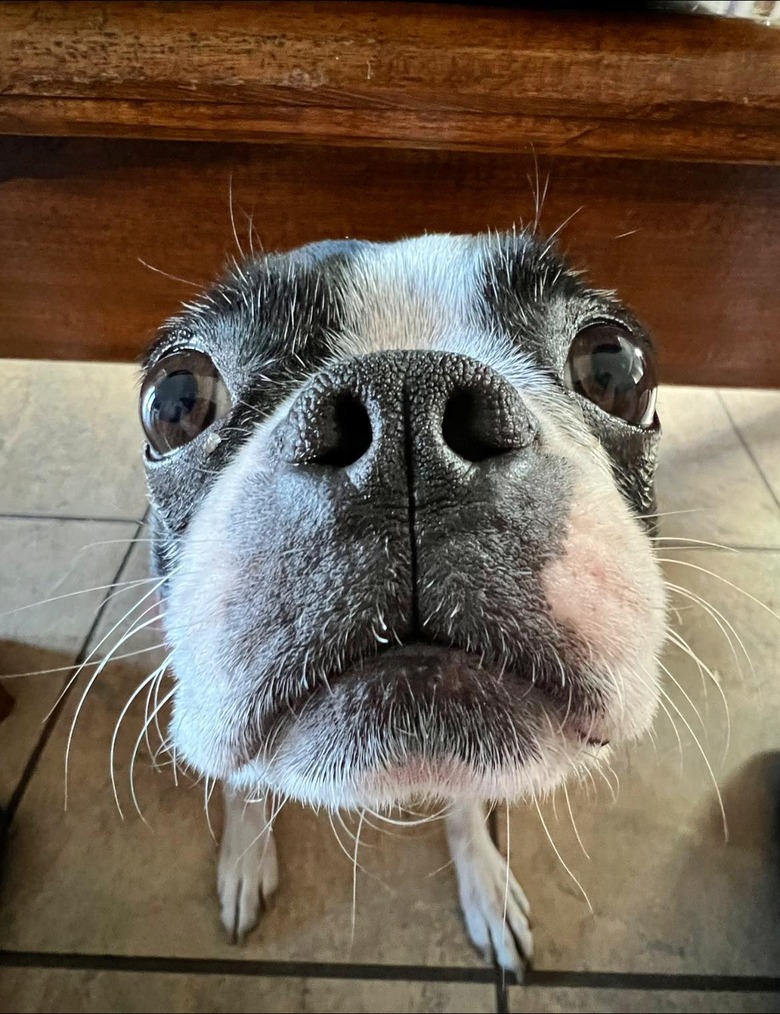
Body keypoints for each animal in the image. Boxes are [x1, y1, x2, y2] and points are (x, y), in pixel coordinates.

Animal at [137, 232, 665, 973]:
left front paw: (485, 880)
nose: (405, 402)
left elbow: (468, 801)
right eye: (175, 398)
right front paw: (245, 850)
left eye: (615, 367)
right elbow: (241, 779)